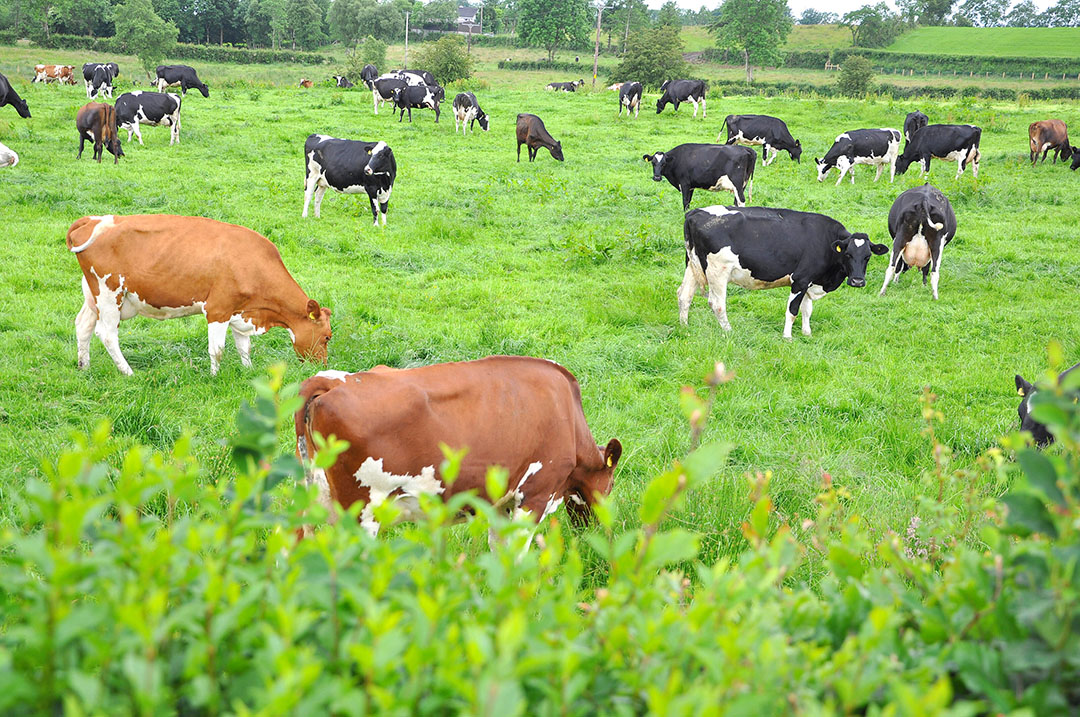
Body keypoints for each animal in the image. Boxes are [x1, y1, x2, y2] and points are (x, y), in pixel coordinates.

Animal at [67, 214, 332, 376]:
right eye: (327, 337)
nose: (321, 368)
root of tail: (94, 219)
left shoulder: (241, 312)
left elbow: (243, 346)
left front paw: (248, 370)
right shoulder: (218, 309)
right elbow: (218, 349)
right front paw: (214, 376)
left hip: (93, 295)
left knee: (83, 326)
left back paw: (84, 366)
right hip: (109, 294)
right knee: (107, 334)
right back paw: (128, 372)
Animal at [293, 356, 622, 536]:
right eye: (611, 485)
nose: (594, 530)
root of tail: (331, 382)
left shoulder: (501, 503)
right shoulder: (535, 495)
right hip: (361, 512)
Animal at [679, 206, 887, 339]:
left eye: (868, 256)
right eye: (848, 254)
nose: (858, 281)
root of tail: (694, 213)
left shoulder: (809, 281)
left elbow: (807, 310)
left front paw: (807, 334)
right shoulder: (800, 279)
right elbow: (793, 310)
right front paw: (788, 337)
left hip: (693, 266)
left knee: (684, 296)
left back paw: (685, 327)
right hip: (718, 271)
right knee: (717, 304)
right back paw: (729, 331)